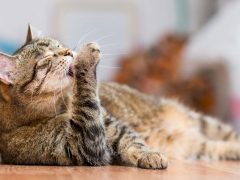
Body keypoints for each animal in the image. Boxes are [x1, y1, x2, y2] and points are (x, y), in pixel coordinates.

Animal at [0, 25, 239, 169]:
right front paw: (85, 58)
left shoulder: (111, 123)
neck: (64, 105)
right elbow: (88, 105)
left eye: (60, 46)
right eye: (46, 58)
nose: (69, 51)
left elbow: (132, 140)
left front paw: (148, 154)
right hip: (202, 146)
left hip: (205, 123)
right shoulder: (83, 145)